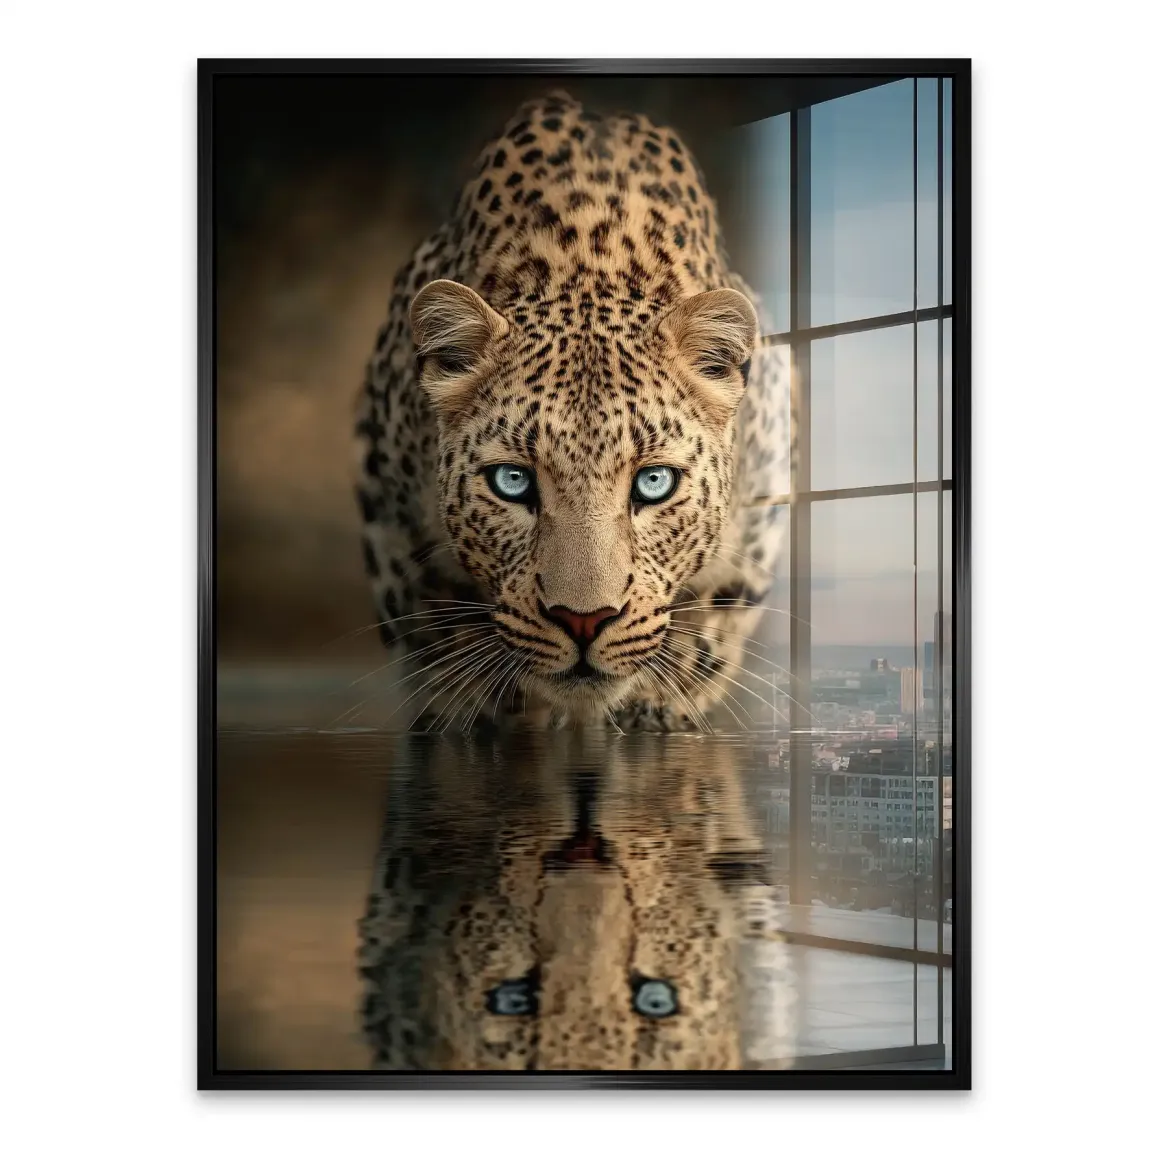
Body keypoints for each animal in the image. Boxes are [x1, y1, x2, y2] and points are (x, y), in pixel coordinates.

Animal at [354, 89, 790, 733]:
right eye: (511, 482)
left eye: (655, 483)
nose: (584, 620)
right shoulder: (388, 511)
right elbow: (433, 626)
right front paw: (480, 711)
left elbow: (715, 616)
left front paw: (659, 703)